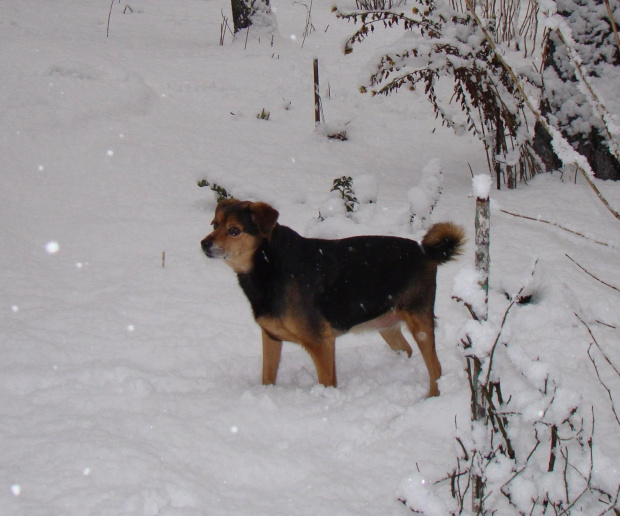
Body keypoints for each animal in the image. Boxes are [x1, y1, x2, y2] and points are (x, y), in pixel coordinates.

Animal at [202, 200, 464, 398]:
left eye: (234, 230)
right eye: (214, 224)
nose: (204, 243)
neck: (268, 263)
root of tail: (425, 251)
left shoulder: (321, 342)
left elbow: (327, 383)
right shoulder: (271, 336)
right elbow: (267, 376)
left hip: (419, 321)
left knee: (436, 368)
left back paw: (431, 398)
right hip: (386, 324)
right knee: (406, 350)